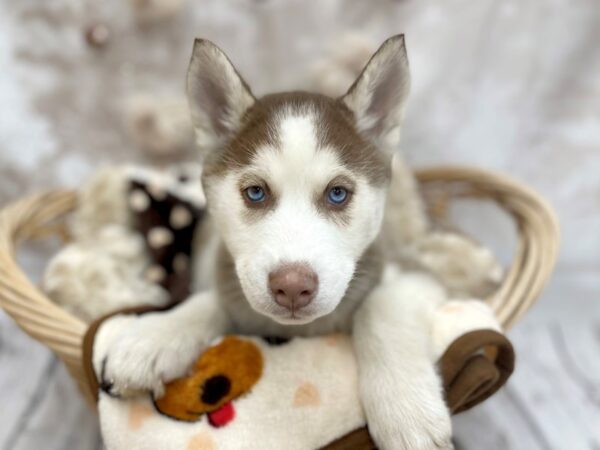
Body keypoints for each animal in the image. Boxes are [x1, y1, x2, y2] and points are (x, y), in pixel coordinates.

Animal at [101, 36, 452, 450]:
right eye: (255, 192)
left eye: (337, 194)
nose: (293, 287)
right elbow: (214, 299)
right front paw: (153, 338)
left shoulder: (420, 275)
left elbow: (379, 306)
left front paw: (406, 412)